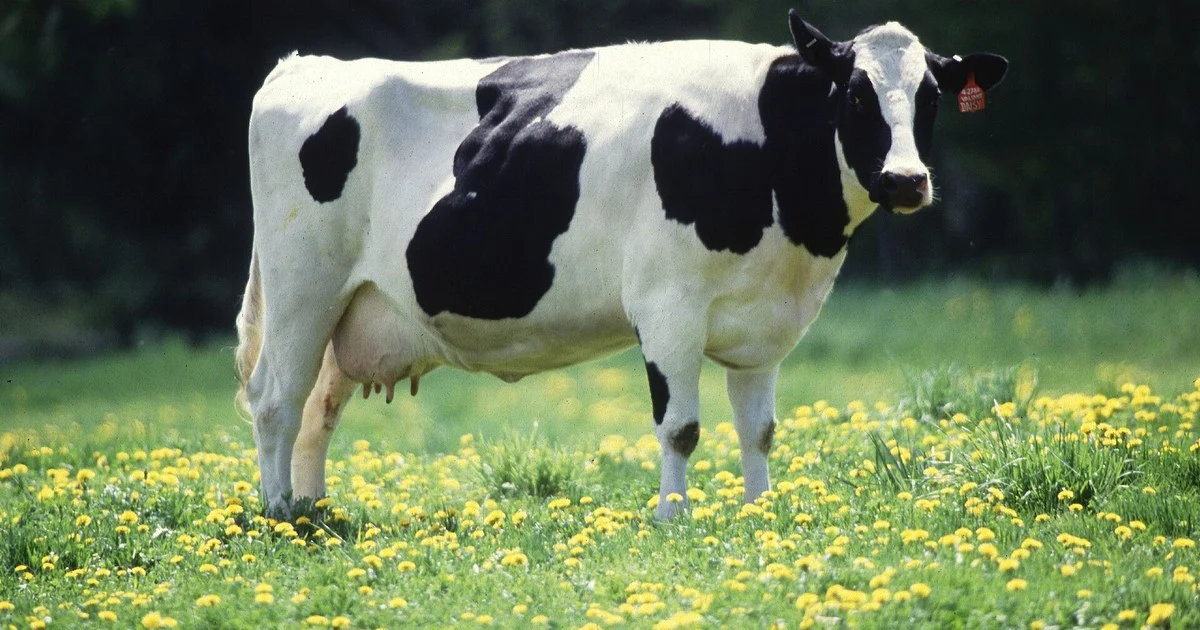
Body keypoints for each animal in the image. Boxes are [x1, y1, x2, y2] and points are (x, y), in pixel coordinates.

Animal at [235, 11, 1007, 520]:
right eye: (855, 93)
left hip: (352, 307)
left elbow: (758, 429)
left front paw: (760, 513)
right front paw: (673, 518)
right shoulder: (668, 305)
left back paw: (314, 510)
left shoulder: (764, 323)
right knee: (276, 398)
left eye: (931, 97)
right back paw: (279, 515)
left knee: (318, 409)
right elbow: (681, 426)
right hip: (303, 286)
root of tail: (304, 64)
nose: (906, 180)